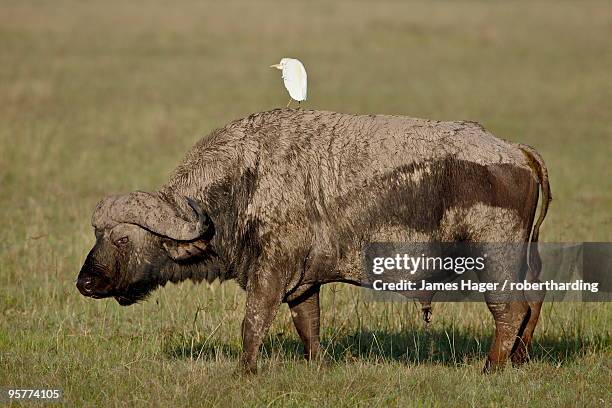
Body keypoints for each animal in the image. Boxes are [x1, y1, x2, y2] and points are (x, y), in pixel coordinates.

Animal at [75, 108, 548, 372]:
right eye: (98, 234)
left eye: (121, 239)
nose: (85, 282)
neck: (244, 180)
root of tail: (517, 152)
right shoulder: (303, 284)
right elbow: (308, 325)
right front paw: (315, 365)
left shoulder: (271, 272)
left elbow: (252, 323)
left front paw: (245, 372)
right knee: (533, 301)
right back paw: (518, 360)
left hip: (491, 263)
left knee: (509, 310)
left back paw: (491, 367)